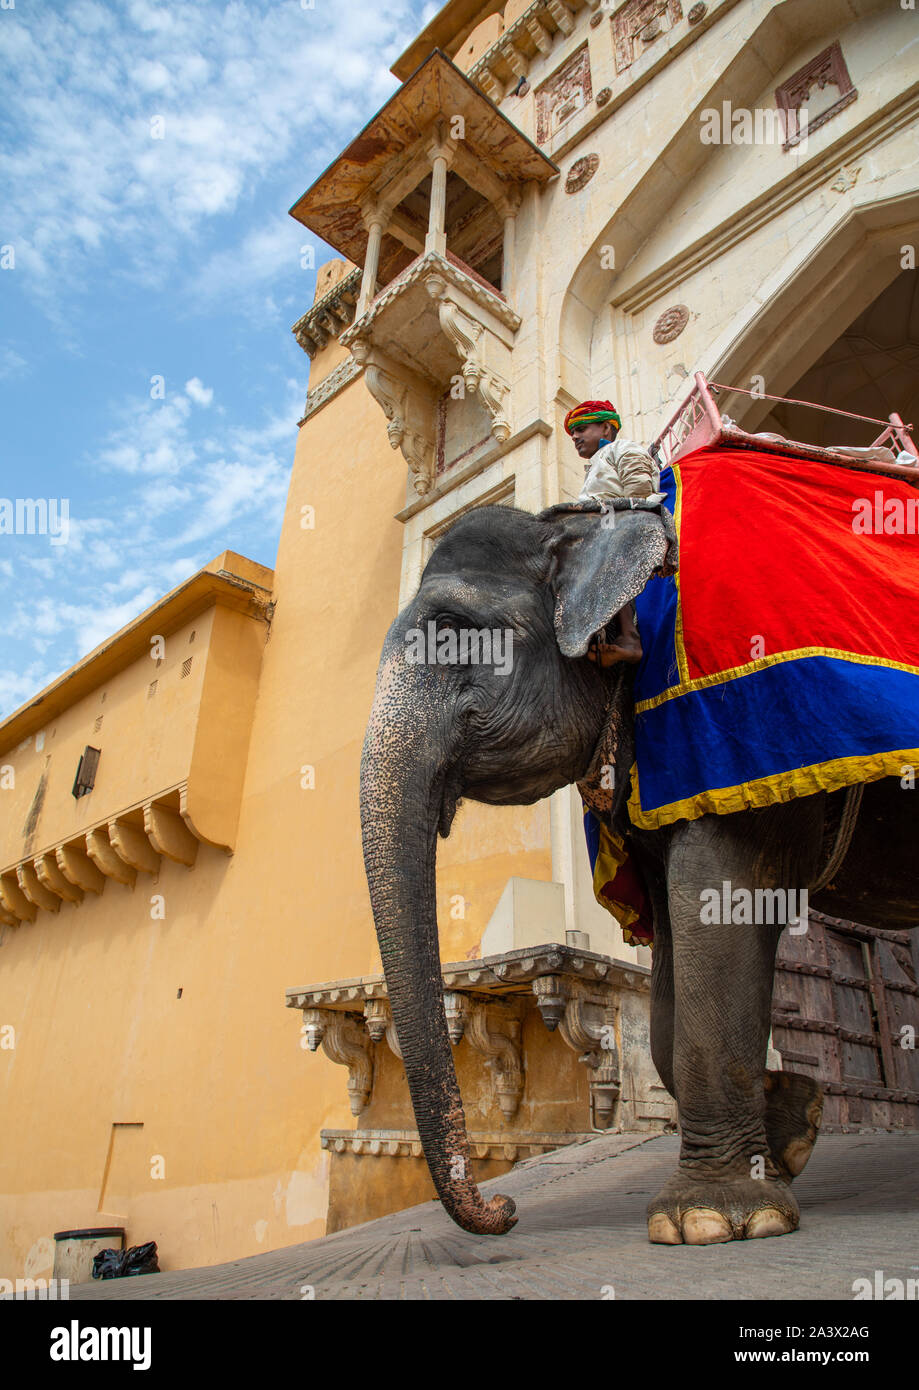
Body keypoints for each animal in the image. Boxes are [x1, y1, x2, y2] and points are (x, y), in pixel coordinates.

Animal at [359, 496, 917, 1243]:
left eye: (454, 631)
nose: (504, 1209)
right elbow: (674, 955)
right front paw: (791, 1130)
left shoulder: (732, 716)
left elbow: (717, 900)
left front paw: (710, 1219)